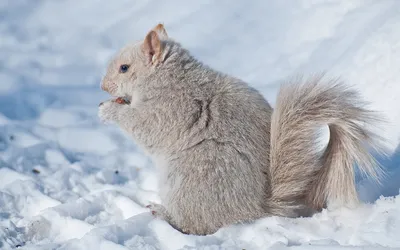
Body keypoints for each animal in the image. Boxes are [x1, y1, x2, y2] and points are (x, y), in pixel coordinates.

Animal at [98, 23, 386, 236]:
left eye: (124, 68)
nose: (102, 87)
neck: (167, 78)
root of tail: (258, 208)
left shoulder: (172, 108)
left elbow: (145, 126)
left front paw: (107, 110)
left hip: (193, 179)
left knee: (196, 225)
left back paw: (164, 213)